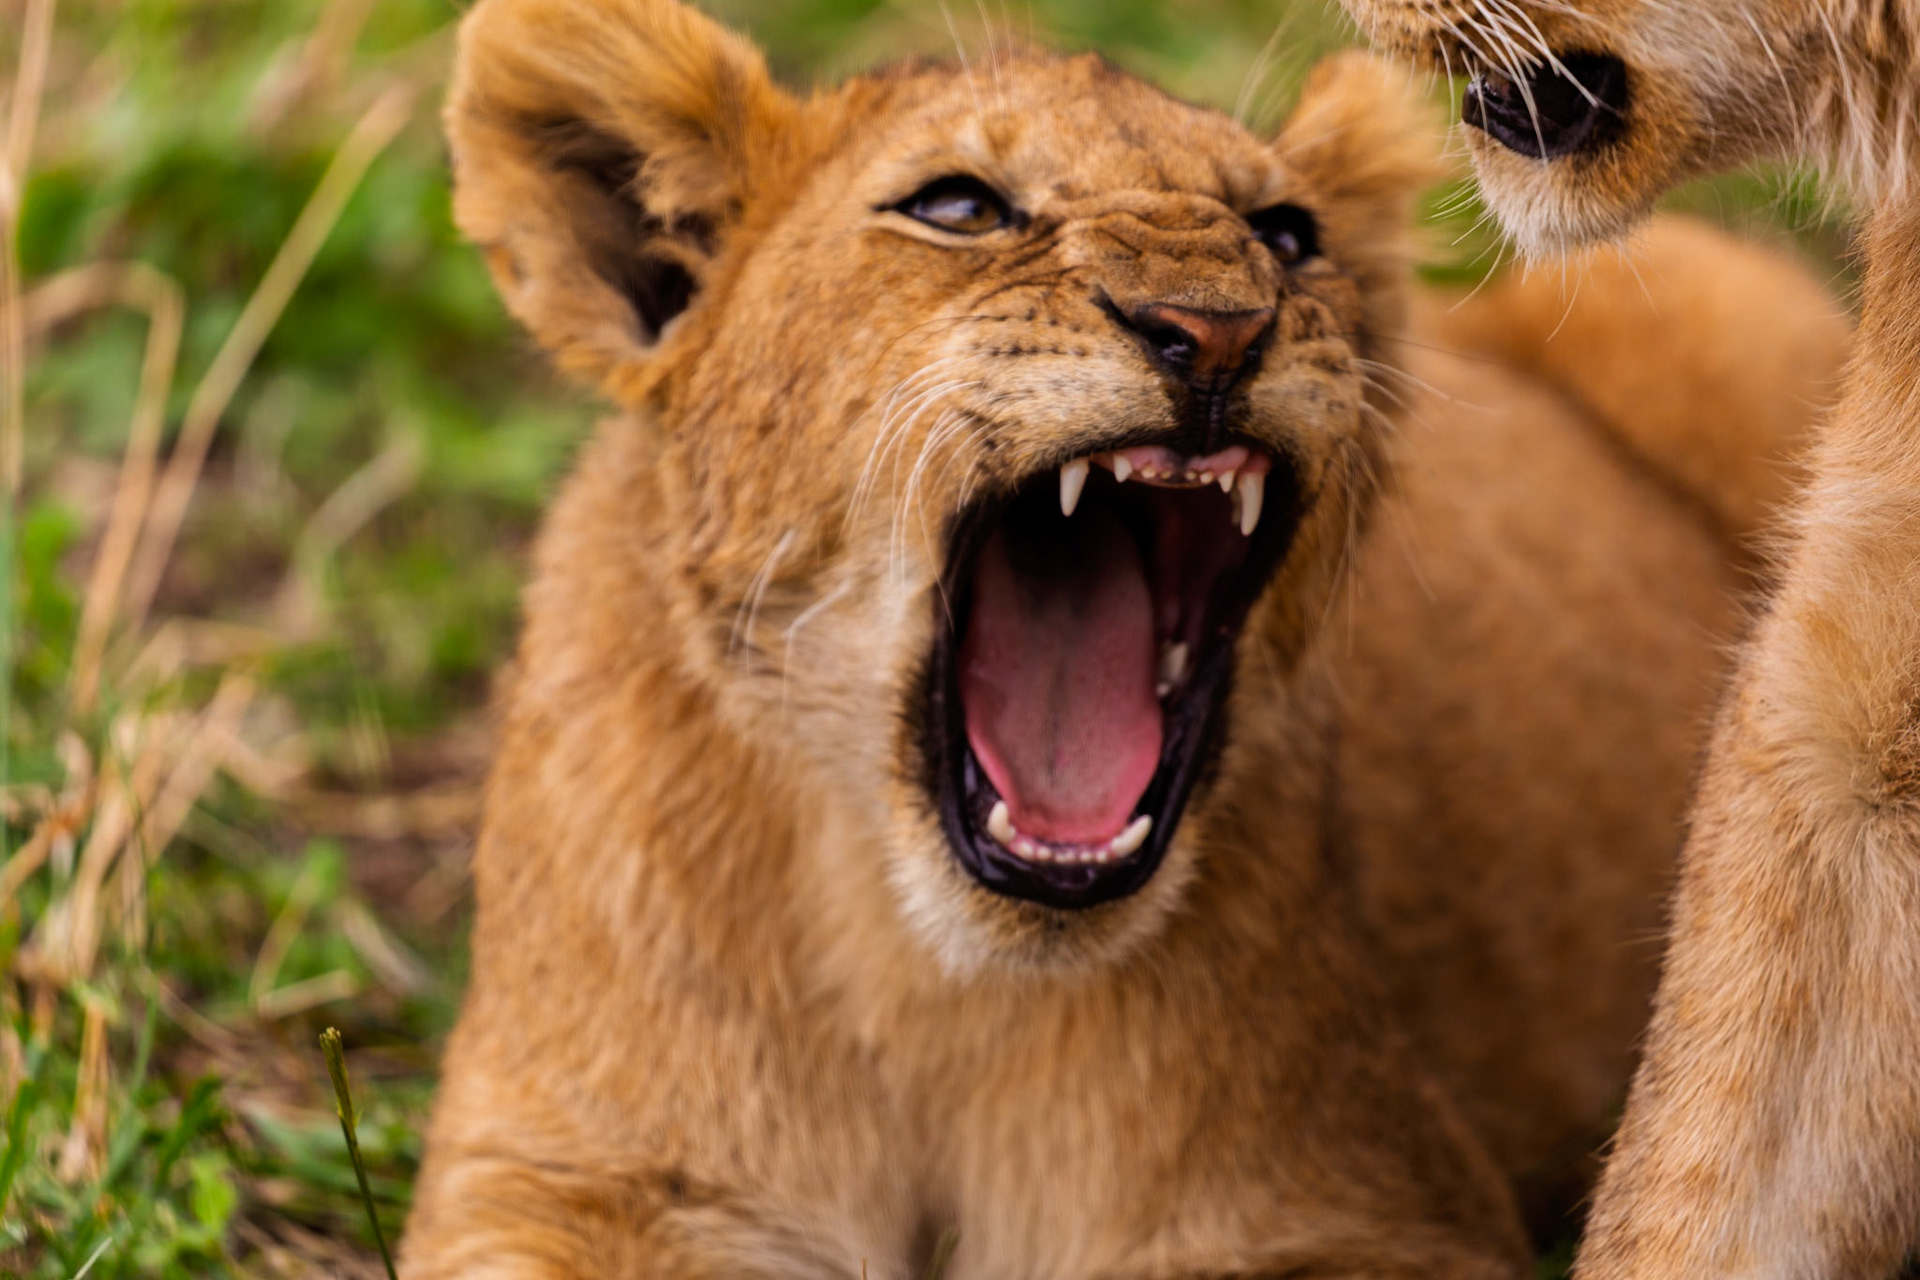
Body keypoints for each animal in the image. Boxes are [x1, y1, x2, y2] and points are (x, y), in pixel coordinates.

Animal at [398, 2, 1848, 1275]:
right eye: (958, 208)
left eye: (1287, 232)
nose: (1216, 326)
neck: (923, 978)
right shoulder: (564, 1176)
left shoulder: (1357, 1200)